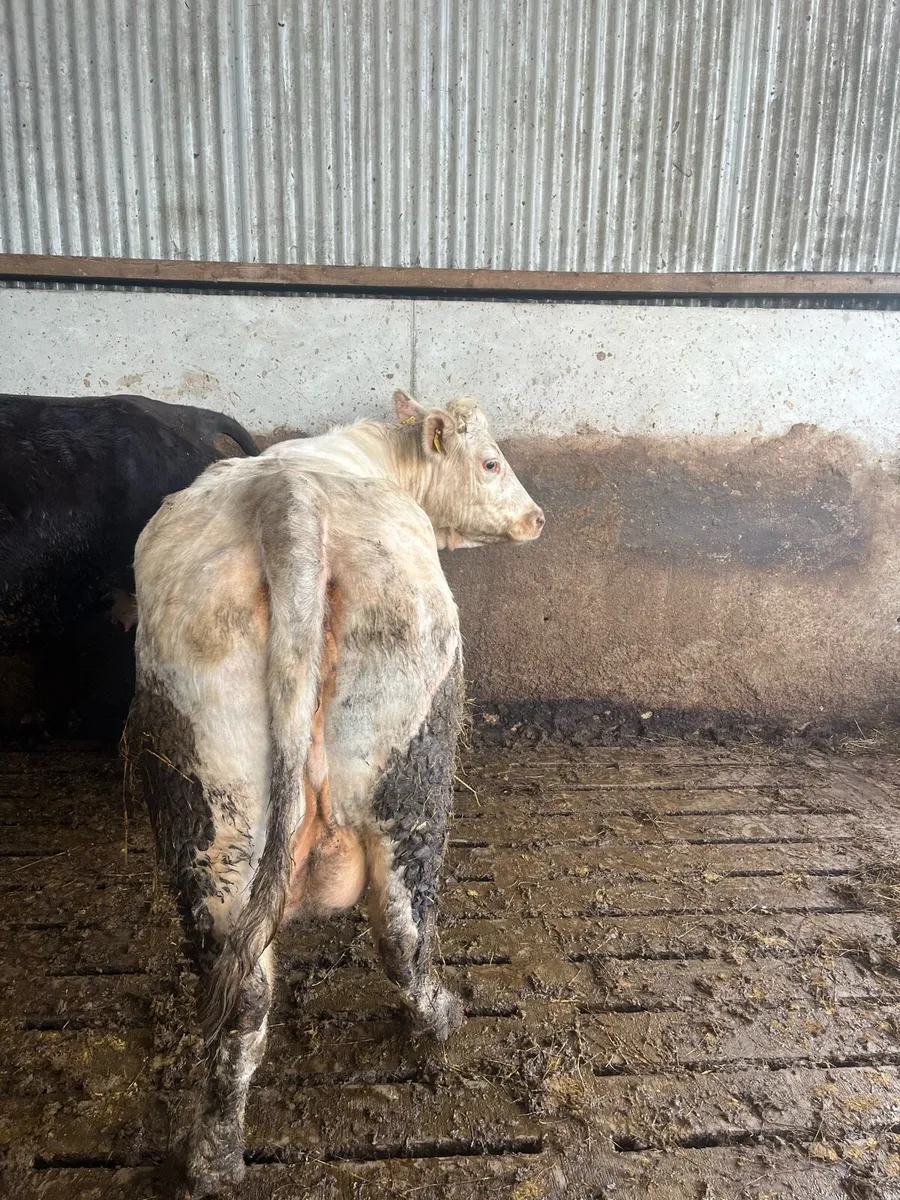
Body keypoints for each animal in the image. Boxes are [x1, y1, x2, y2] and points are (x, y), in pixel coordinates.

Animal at [125, 390, 544, 1195]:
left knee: (239, 984)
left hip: (212, 798)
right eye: (490, 462)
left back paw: (214, 1156)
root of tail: (290, 502)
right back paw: (439, 1016)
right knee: (403, 927)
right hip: (413, 755)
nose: (537, 519)